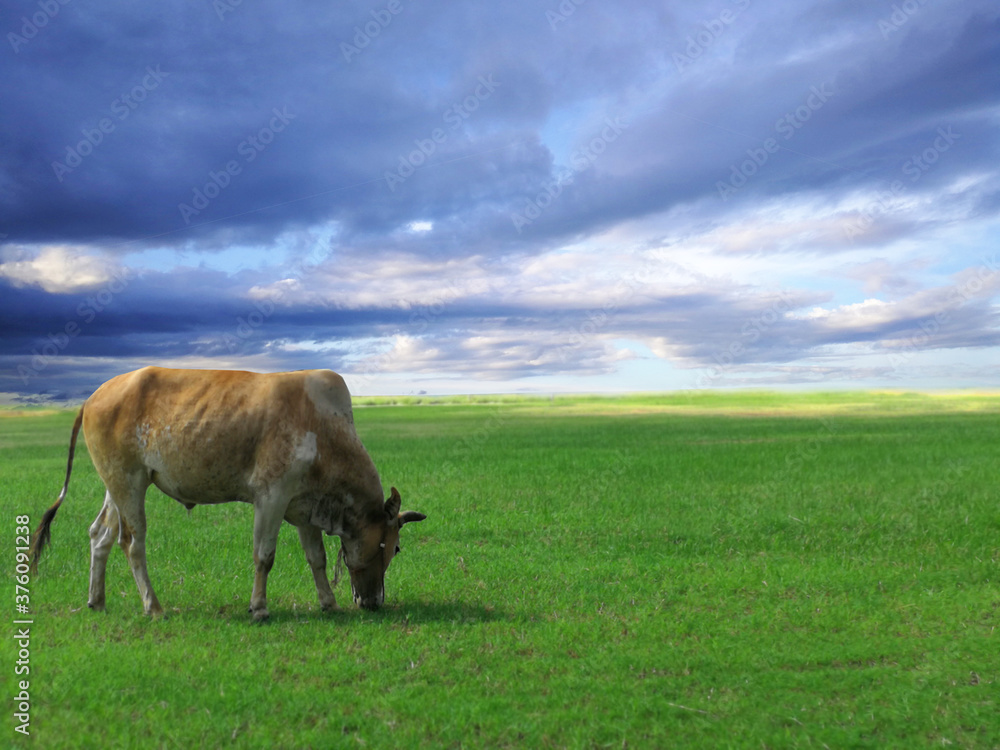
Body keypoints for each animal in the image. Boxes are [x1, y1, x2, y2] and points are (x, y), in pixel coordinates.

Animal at [28, 366, 425, 620]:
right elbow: (264, 556)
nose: (374, 602)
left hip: (117, 485)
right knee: (132, 543)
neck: (326, 430)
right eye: (391, 547)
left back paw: (96, 600)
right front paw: (259, 608)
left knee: (101, 536)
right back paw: (154, 607)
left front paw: (328, 602)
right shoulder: (271, 497)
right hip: (129, 483)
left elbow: (317, 558)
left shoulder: (303, 506)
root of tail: (94, 396)